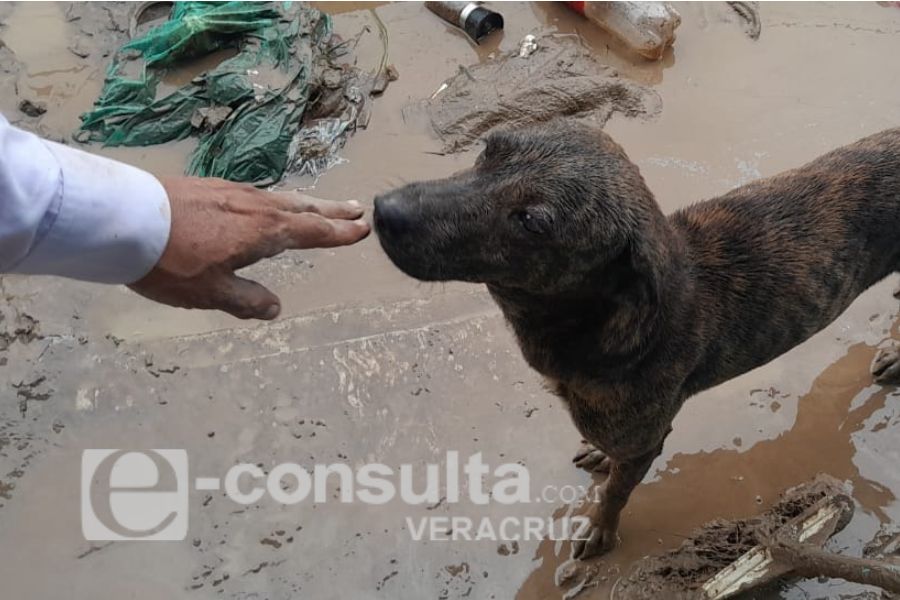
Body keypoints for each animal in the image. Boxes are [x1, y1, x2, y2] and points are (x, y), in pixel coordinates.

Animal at [373, 122, 900, 559]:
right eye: (488, 149)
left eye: (530, 221)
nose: (383, 211)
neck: (592, 322)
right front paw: (600, 460)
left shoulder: (645, 442)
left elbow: (615, 494)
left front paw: (600, 529)